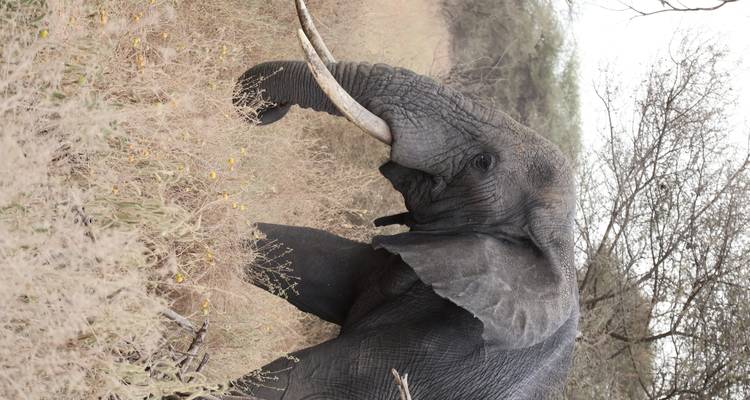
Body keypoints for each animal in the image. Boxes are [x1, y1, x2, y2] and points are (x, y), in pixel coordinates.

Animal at [224, 1, 579, 399]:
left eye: (482, 163)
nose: (263, 111)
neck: (561, 245)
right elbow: (300, 255)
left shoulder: (446, 347)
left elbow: (299, 378)